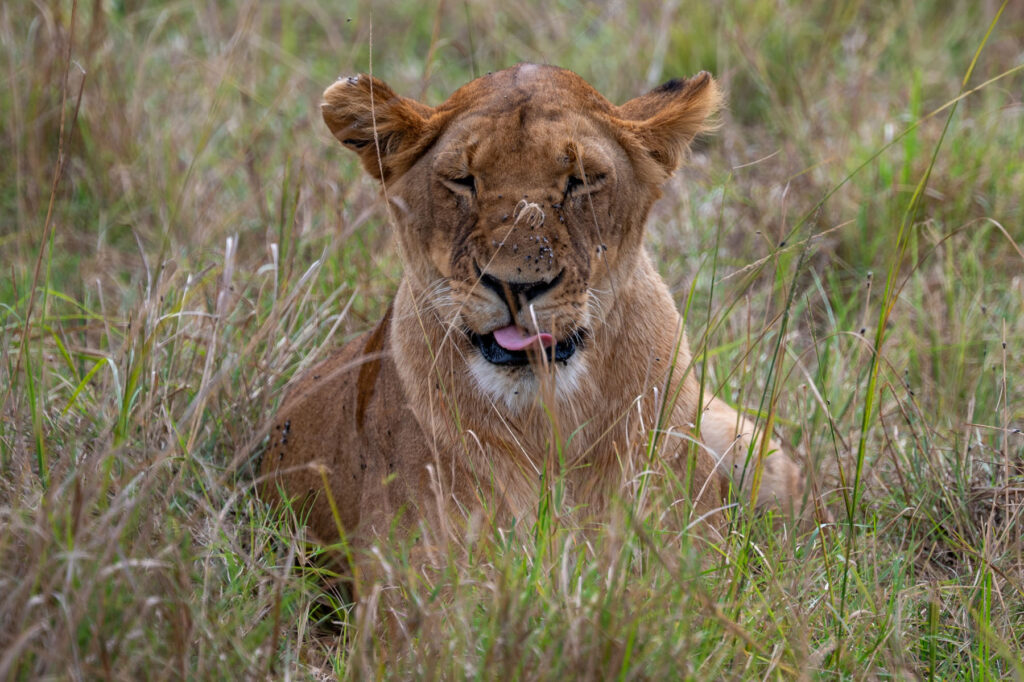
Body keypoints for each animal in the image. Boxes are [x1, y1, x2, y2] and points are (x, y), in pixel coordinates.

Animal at [260, 64, 804, 592]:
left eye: (582, 180)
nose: (517, 285)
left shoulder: (693, 560)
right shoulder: (408, 582)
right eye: (463, 180)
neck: (549, 422)